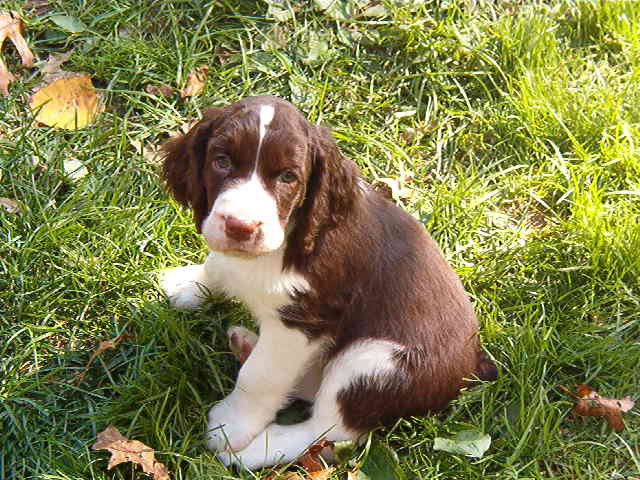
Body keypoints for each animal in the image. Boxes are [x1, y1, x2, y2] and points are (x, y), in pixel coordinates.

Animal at [159, 96, 496, 468]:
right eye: (221, 161)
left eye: (288, 176)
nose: (240, 226)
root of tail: (474, 367)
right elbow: (217, 263)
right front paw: (188, 284)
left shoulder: (304, 320)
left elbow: (260, 376)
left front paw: (231, 426)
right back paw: (246, 343)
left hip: (371, 364)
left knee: (328, 432)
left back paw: (251, 452)